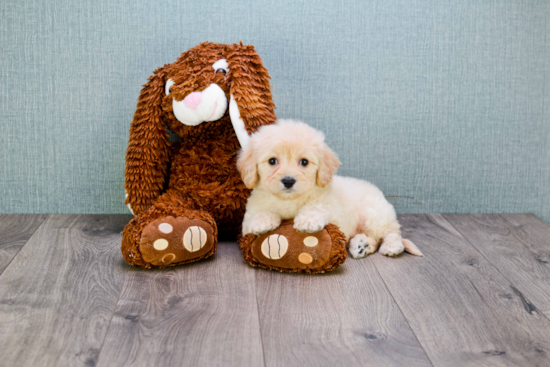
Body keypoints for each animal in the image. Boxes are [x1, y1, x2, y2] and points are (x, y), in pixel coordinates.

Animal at [237, 120, 422, 258]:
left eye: (304, 162)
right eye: (272, 161)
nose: (288, 181)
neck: (290, 200)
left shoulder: (331, 208)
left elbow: (315, 206)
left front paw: (307, 221)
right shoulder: (249, 216)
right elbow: (259, 212)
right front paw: (262, 222)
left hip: (375, 214)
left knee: (391, 232)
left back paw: (391, 246)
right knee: (374, 239)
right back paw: (361, 245)